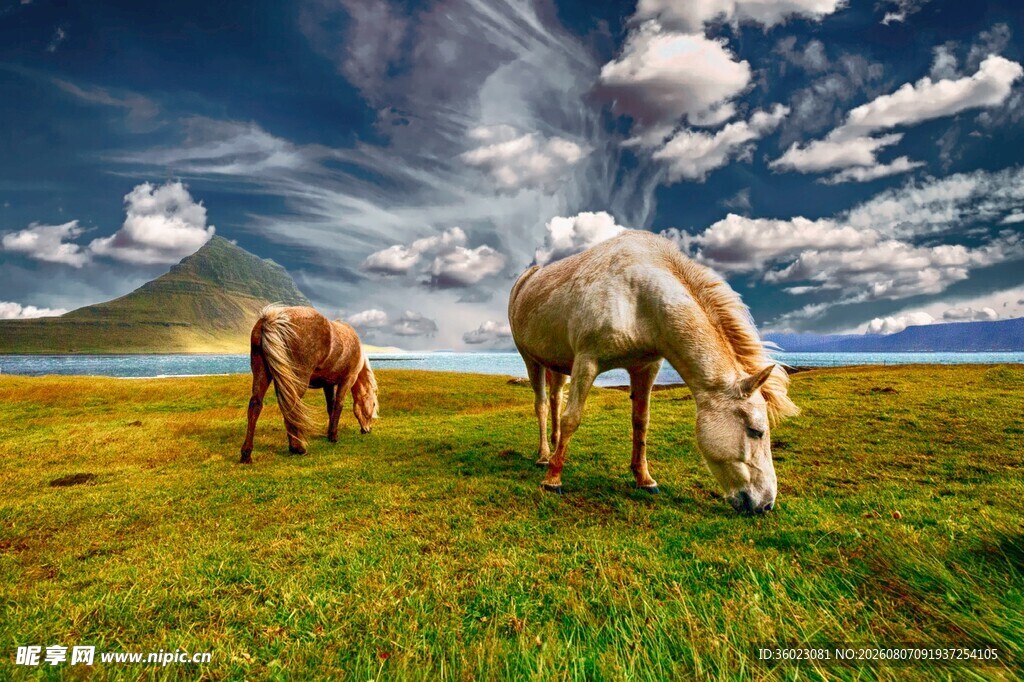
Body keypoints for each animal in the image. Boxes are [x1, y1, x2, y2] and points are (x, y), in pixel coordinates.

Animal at [239, 305, 378, 463]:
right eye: (373, 404)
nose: (368, 429)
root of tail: (272, 319)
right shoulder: (347, 380)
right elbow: (338, 405)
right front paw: (334, 436)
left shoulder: (328, 384)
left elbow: (330, 407)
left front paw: (329, 433)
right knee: (291, 407)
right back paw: (297, 448)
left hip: (262, 374)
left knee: (255, 405)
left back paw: (246, 454)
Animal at [507, 230, 798, 514]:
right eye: (756, 431)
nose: (766, 504)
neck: (639, 297)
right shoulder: (586, 362)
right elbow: (572, 418)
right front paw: (553, 480)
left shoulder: (645, 368)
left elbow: (641, 423)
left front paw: (644, 479)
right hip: (531, 360)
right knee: (543, 405)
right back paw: (545, 456)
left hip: (558, 364)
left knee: (556, 399)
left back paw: (554, 448)